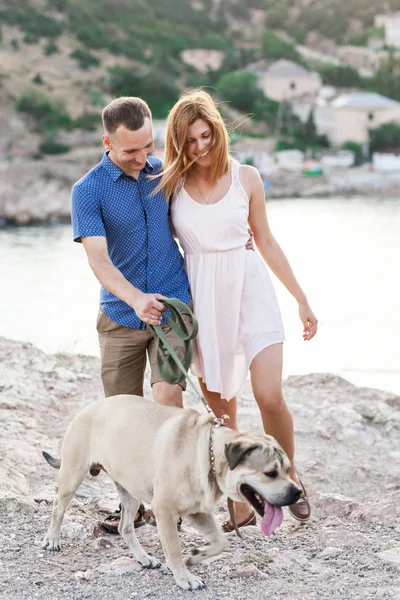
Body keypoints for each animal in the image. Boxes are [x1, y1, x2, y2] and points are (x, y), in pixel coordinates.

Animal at [43, 396, 300, 588]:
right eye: (270, 473)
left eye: (288, 470)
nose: (297, 493)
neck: (206, 453)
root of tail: (89, 408)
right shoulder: (164, 510)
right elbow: (174, 549)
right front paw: (184, 577)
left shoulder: (198, 511)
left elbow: (221, 542)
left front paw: (196, 556)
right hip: (73, 475)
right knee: (58, 508)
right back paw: (52, 539)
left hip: (130, 492)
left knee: (125, 527)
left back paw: (144, 558)